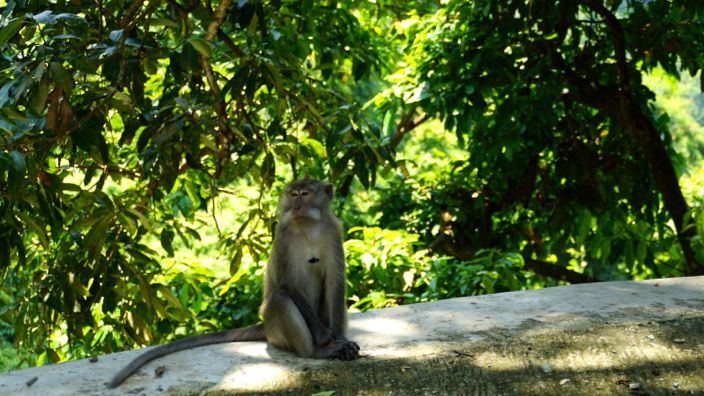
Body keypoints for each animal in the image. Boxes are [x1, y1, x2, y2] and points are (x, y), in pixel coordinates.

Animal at [110, 179, 364, 386]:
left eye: (305, 193)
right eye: (293, 194)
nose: (296, 206)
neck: (309, 227)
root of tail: (265, 328)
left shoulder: (333, 231)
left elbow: (335, 282)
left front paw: (340, 338)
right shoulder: (283, 235)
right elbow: (287, 284)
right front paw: (327, 339)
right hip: (276, 331)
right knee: (279, 299)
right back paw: (316, 352)